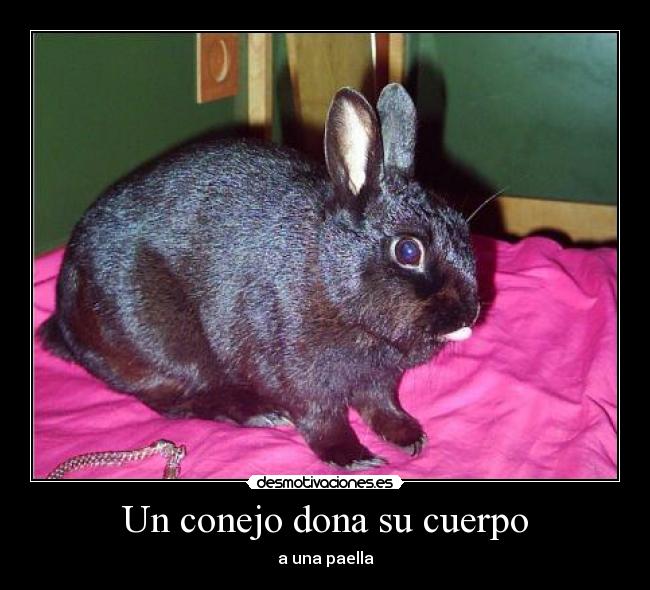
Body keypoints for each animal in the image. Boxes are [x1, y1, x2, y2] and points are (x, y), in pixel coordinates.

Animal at [38, 83, 479, 469]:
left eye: (461, 226)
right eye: (408, 251)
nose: (471, 313)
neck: (331, 275)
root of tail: (66, 319)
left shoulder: (378, 382)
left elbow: (381, 405)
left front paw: (408, 436)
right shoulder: (298, 376)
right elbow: (322, 420)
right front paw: (353, 457)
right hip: (162, 345)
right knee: (176, 402)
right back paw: (259, 414)